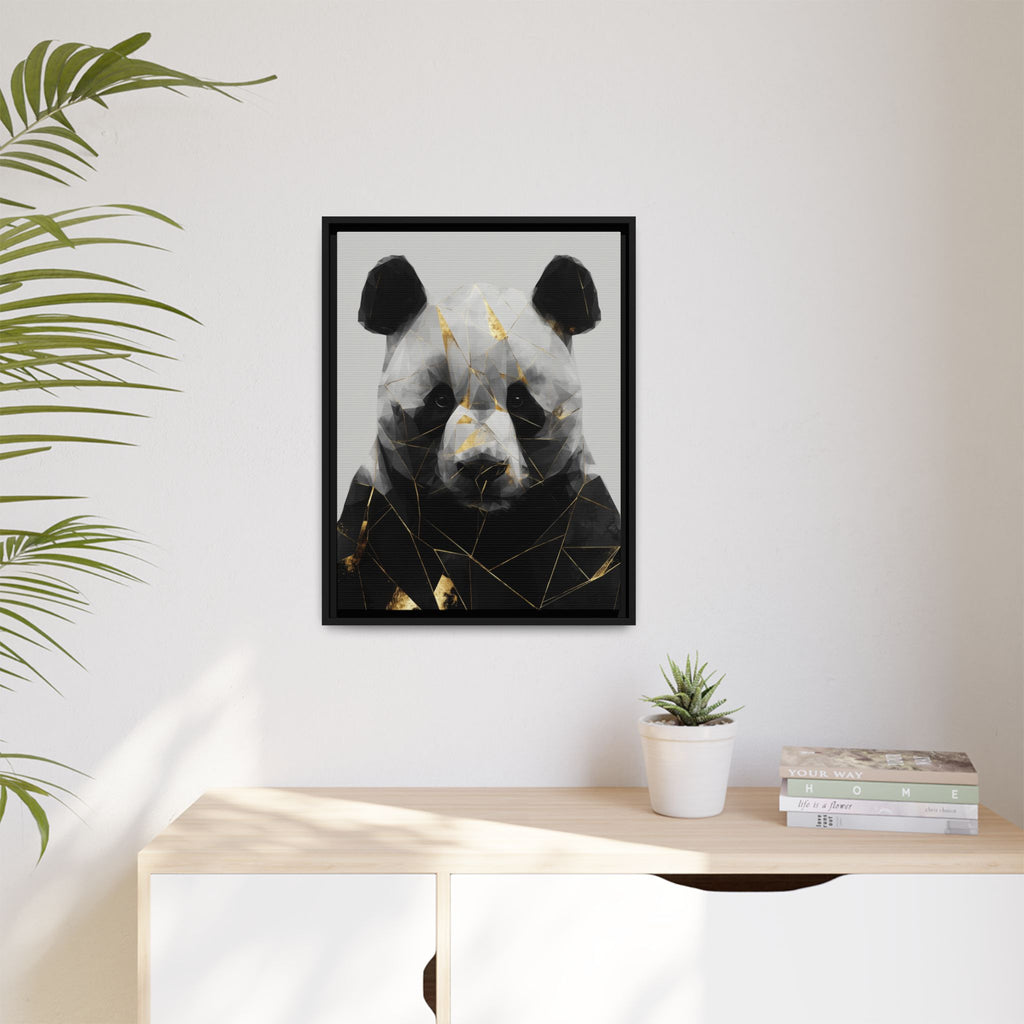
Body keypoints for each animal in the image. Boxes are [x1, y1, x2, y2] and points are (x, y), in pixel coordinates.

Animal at [336, 254, 621, 613]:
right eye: (440, 399)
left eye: (519, 400)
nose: (481, 467)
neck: (479, 532)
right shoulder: (376, 519)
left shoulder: (581, 524)